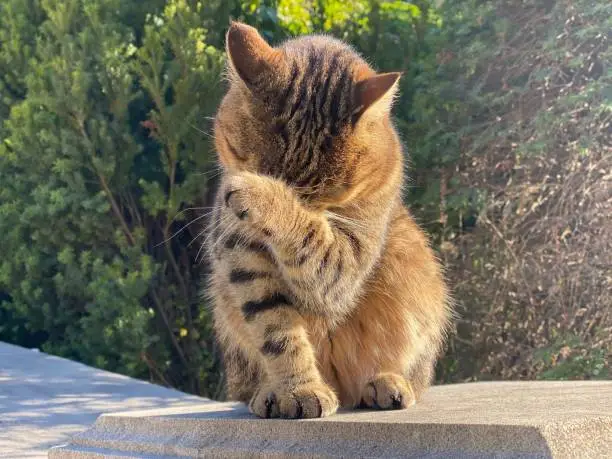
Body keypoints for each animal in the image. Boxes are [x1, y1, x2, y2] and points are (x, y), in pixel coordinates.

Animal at [206, 22, 450, 420]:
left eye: (323, 191)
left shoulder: (344, 266)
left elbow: (312, 237)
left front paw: (264, 195)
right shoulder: (242, 257)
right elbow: (276, 330)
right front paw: (299, 390)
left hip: (414, 266)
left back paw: (387, 382)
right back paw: (268, 391)